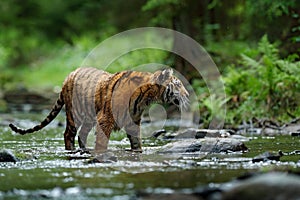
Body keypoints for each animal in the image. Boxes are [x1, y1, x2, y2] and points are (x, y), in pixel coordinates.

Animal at [9, 67, 189, 153]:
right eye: (178, 84)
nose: (188, 95)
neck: (146, 98)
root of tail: (69, 75)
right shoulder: (106, 118)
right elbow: (103, 141)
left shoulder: (133, 121)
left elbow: (136, 141)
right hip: (74, 115)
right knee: (68, 134)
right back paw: (71, 150)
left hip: (89, 117)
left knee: (82, 134)